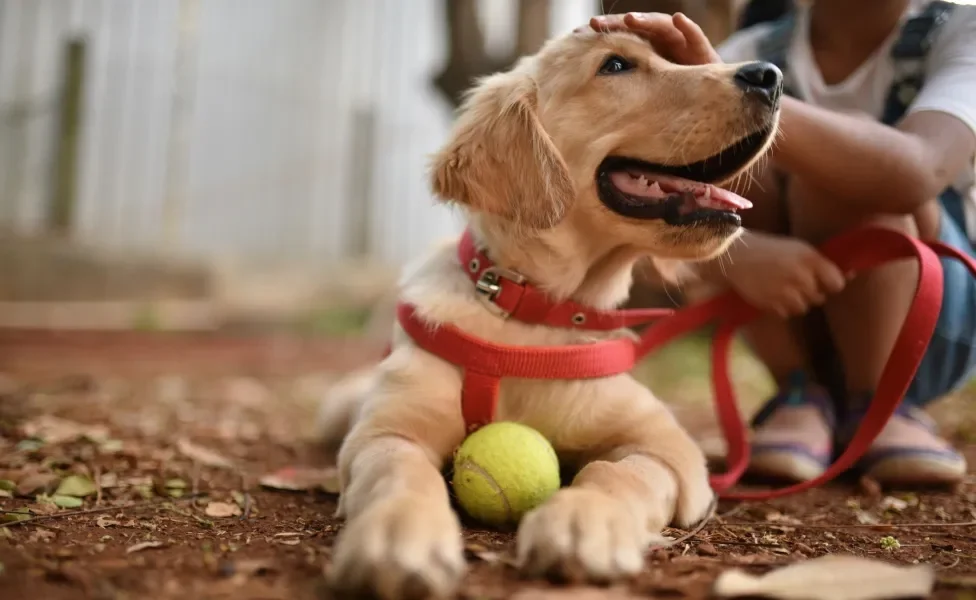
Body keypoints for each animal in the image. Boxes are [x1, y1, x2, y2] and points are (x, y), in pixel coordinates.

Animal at [324, 28, 780, 600]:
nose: (770, 75)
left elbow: (613, 471)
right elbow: (399, 470)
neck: (530, 312)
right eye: (615, 65)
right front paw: (398, 534)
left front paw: (583, 521)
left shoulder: (668, 446)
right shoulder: (385, 432)